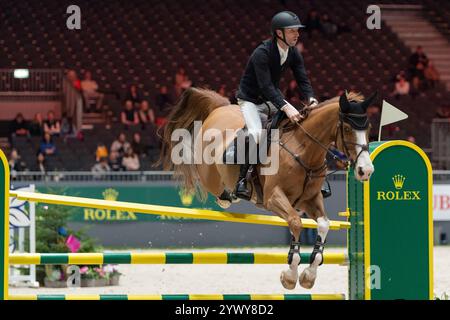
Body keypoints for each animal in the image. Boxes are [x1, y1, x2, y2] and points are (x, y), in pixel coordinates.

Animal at [159, 88, 376, 290]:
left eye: (369, 128)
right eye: (347, 128)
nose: (365, 171)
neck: (302, 149)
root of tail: (220, 108)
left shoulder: (311, 199)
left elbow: (323, 224)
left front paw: (308, 276)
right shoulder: (273, 198)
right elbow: (295, 222)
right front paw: (290, 276)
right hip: (209, 174)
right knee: (208, 181)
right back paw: (227, 196)